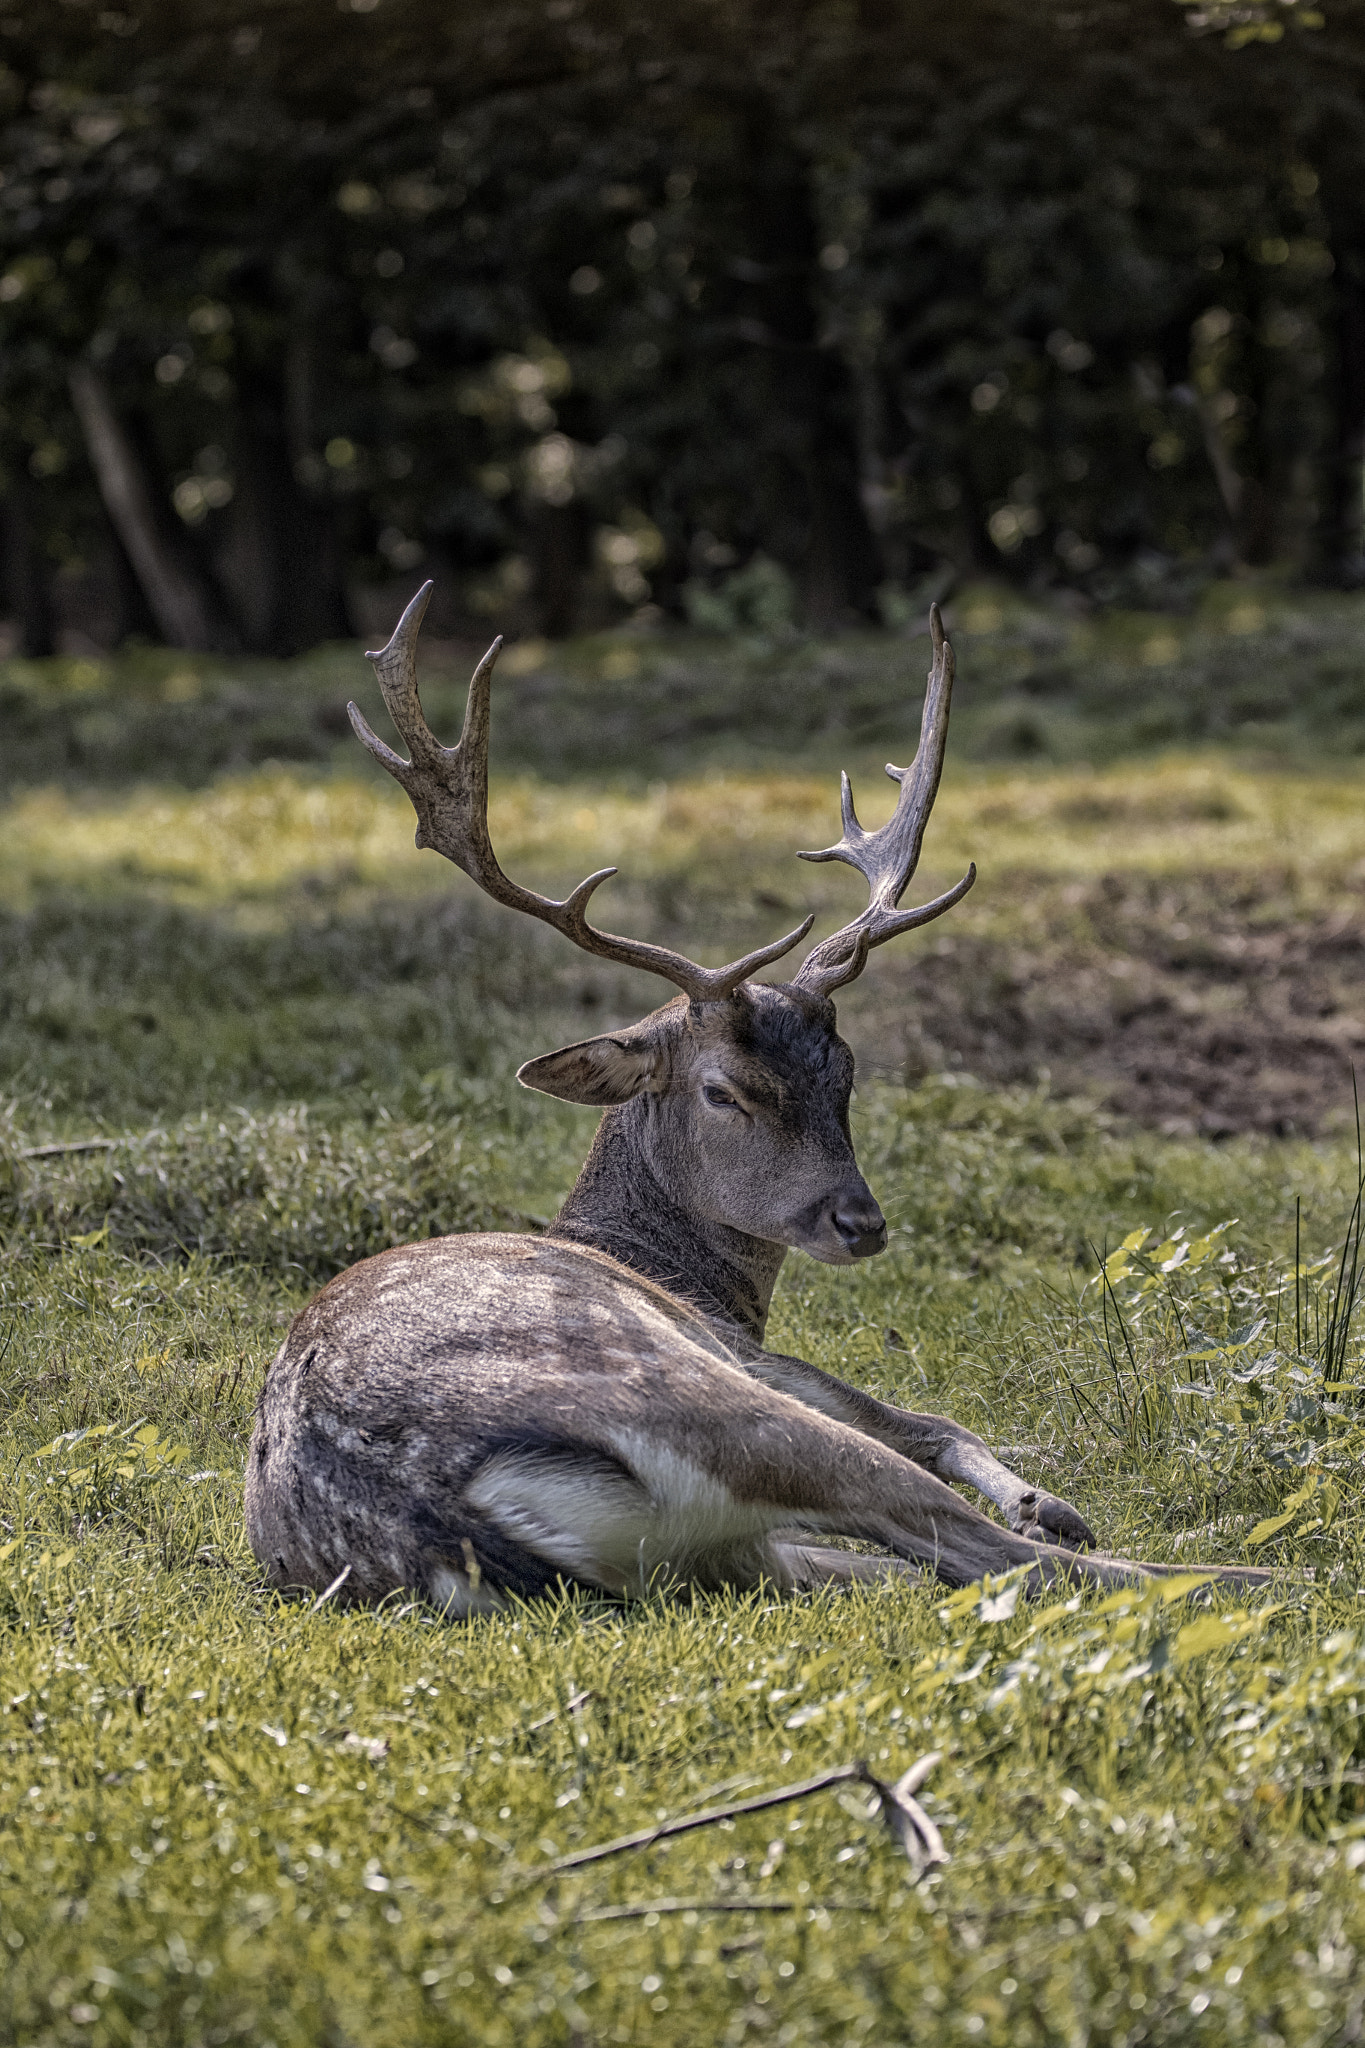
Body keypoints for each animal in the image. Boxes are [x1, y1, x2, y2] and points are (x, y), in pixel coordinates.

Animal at [246, 584, 1265, 1614]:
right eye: (722, 1091)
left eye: (845, 1070)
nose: (859, 1221)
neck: (685, 1275)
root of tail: (437, 1510)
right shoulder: (766, 1359)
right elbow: (935, 1422)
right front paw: (1050, 1500)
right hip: (709, 1400)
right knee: (992, 1550)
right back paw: (1258, 1569)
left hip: (726, 1557)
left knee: (912, 1563)